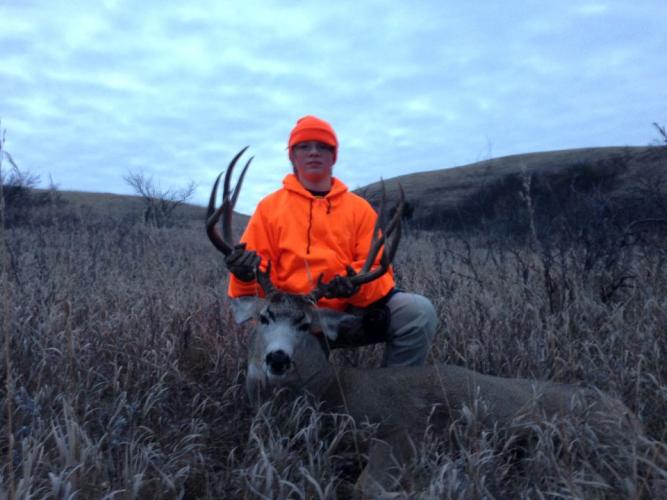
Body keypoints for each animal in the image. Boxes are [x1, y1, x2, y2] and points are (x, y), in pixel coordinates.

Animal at [206, 148, 641, 497]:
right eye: (265, 316)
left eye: (308, 325)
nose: (278, 359)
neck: (334, 395)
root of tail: (628, 414)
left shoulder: (402, 434)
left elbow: (367, 486)